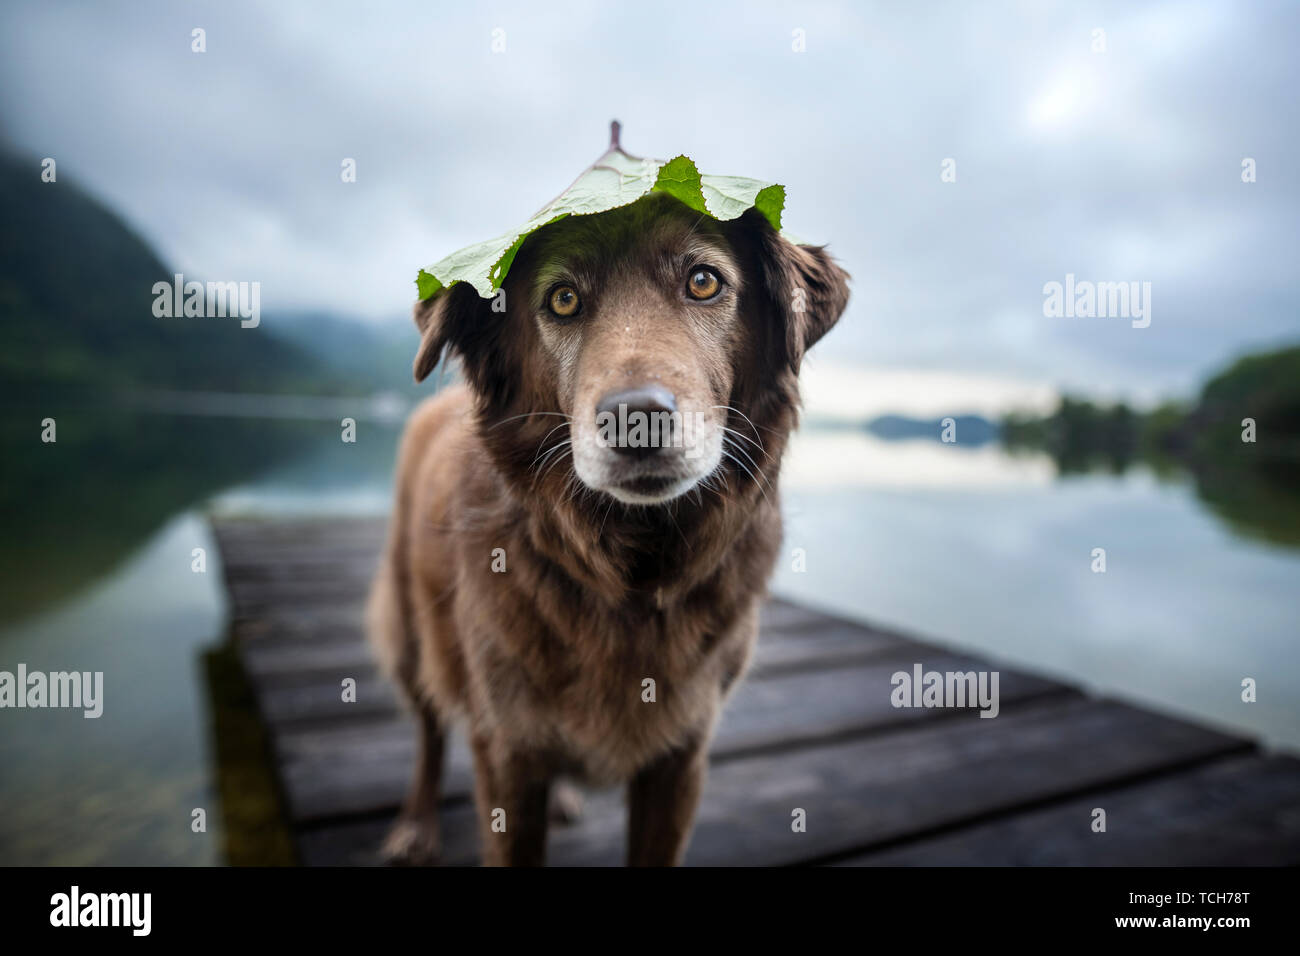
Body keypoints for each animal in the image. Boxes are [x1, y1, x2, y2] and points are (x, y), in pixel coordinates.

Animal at [369, 192, 852, 868]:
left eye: (704, 281)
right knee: (429, 731)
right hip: (411, 635)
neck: (632, 572)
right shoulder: (507, 754)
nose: (637, 420)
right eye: (563, 299)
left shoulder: (679, 758)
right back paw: (416, 825)